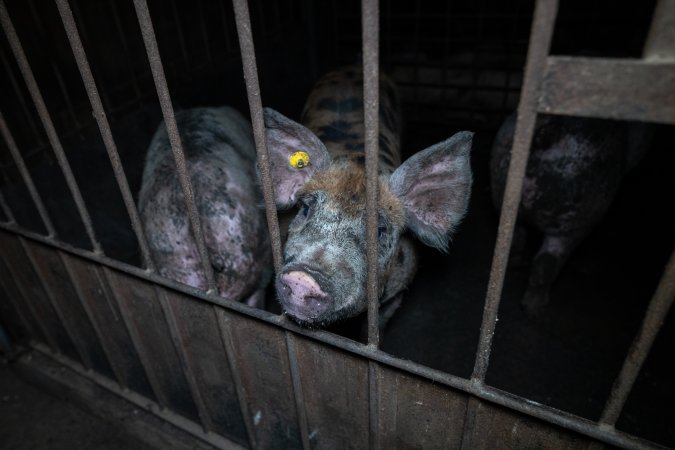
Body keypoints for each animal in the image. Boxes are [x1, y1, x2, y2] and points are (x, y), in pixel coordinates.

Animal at [488, 113, 652, 316]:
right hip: (573, 215)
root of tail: (549, 134)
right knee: (547, 262)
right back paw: (535, 308)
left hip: (500, 182)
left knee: (515, 238)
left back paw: (515, 265)